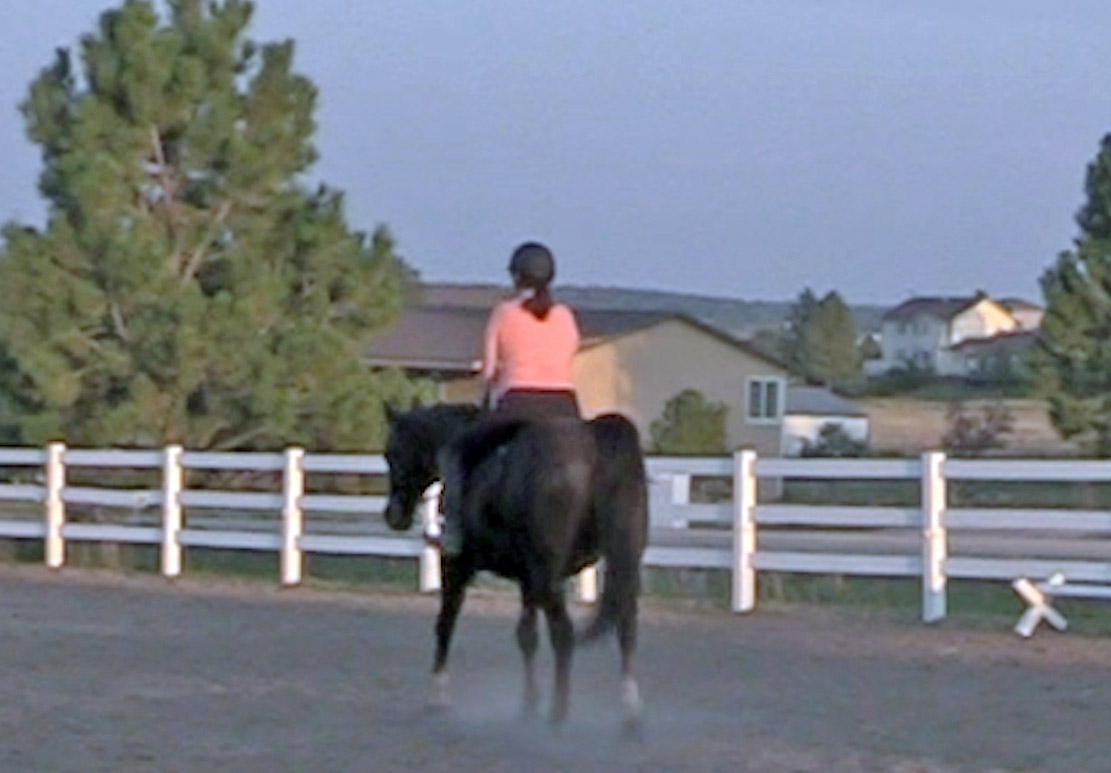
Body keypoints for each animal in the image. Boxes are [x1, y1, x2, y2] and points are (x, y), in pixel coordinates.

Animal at [382, 403, 649, 731]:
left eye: (391, 453)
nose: (393, 515)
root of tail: (593, 442)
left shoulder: (457, 566)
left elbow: (445, 624)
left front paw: (437, 699)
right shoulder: (527, 579)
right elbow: (527, 636)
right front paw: (528, 703)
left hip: (549, 577)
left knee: (564, 634)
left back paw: (559, 712)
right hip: (621, 567)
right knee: (626, 632)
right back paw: (630, 713)